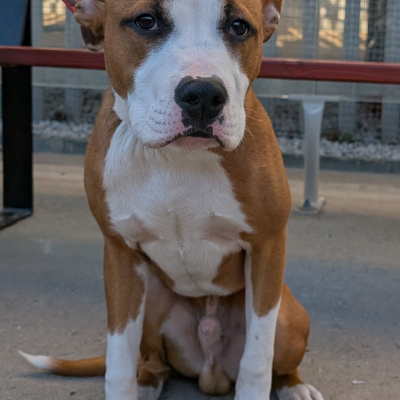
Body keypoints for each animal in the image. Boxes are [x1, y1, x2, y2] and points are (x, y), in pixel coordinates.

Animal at [20, 0, 324, 400]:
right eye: (146, 21)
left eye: (239, 27)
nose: (204, 95)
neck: (177, 157)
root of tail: (210, 371)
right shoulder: (119, 253)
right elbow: (119, 363)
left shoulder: (268, 245)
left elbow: (257, 362)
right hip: (147, 297)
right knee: (151, 360)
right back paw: (147, 383)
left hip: (289, 317)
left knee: (279, 359)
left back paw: (295, 386)